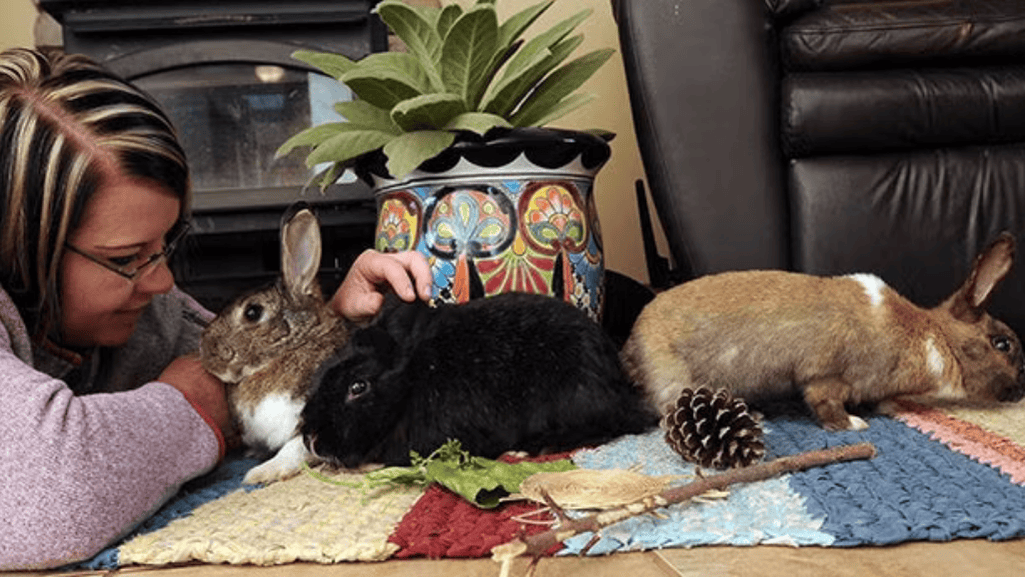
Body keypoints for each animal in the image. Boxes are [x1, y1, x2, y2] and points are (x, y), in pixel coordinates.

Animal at [621, 233, 1025, 431]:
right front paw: (854, 426)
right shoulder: (828, 377)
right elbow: (826, 404)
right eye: (1002, 344)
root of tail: (631, 344)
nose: (1022, 391)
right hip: (675, 383)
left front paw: (893, 407)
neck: (937, 338)